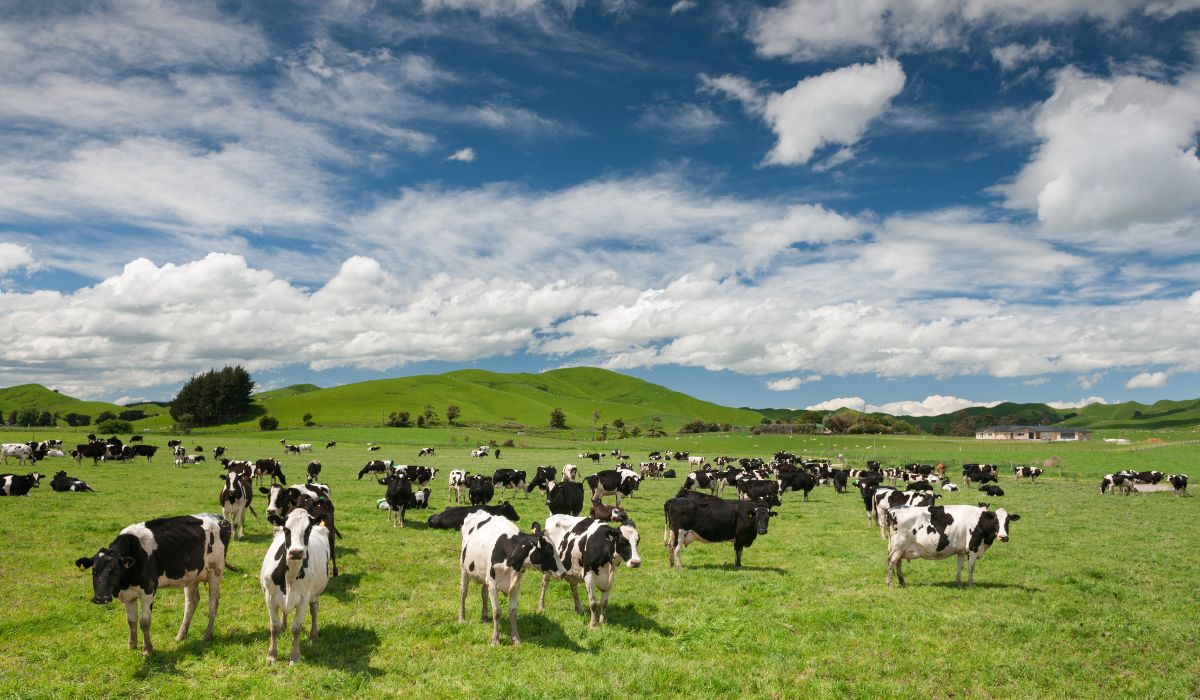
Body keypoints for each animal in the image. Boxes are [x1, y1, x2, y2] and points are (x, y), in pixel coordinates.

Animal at [75, 513, 231, 657]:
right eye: (94, 571)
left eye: (114, 570)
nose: (101, 598)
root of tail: (218, 518)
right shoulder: (128, 595)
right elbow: (131, 621)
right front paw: (132, 645)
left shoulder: (148, 589)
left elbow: (144, 621)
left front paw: (147, 649)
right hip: (192, 575)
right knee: (191, 603)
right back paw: (181, 635)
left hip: (215, 572)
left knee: (213, 603)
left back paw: (208, 636)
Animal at [259, 506, 331, 667]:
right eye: (286, 529)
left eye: (308, 529)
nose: (296, 552)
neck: (290, 576)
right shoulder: (269, 597)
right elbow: (273, 627)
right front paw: (272, 655)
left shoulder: (303, 600)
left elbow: (296, 628)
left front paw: (295, 656)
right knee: (284, 613)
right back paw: (283, 626)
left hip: (314, 594)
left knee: (314, 611)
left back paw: (313, 635)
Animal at [460, 513, 568, 648]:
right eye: (549, 548)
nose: (564, 572)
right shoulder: (493, 584)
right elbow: (497, 612)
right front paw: (495, 640)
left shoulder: (516, 585)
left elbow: (513, 612)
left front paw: (516, 639)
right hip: (464, 568)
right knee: (463, 593)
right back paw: (461, 618)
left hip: (484, 575)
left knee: (483, 594)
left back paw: (484, 616)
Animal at [883, 506, 1022, 588]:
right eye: (995, 521)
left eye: (1008, 521)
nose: (1004, 537)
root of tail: (892, 510)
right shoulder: (973, 547)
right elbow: (971, 567)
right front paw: (971, 585)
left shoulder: (961, 550)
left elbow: (960, 567)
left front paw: (959, 584)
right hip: (900, 545)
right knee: (891, 561)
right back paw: (889, 584)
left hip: (898, 547)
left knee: (897, 563)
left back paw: (902, 583)